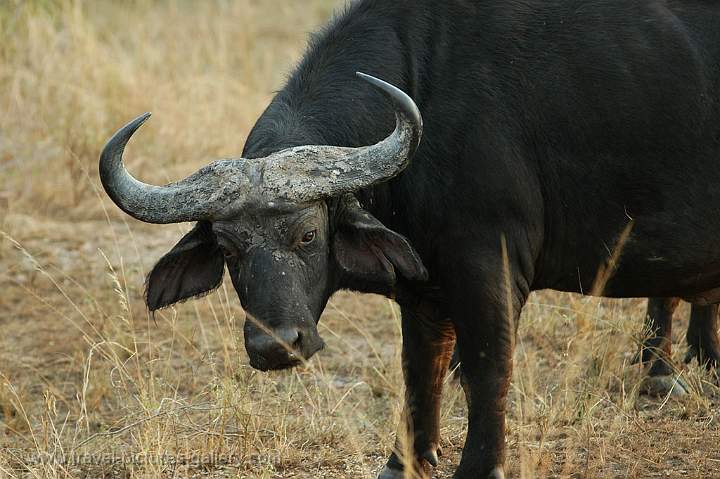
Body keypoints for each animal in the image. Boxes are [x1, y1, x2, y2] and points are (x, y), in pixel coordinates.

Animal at [98, 0, 720, 479]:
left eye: (308, 233)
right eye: (228, 250)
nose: (275, 346)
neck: (430, 90)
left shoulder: (489, 267)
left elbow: (487, 365)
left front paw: (480, 465)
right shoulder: (424, 289)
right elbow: (420, 369)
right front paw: (406, 461)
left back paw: (667, 371)